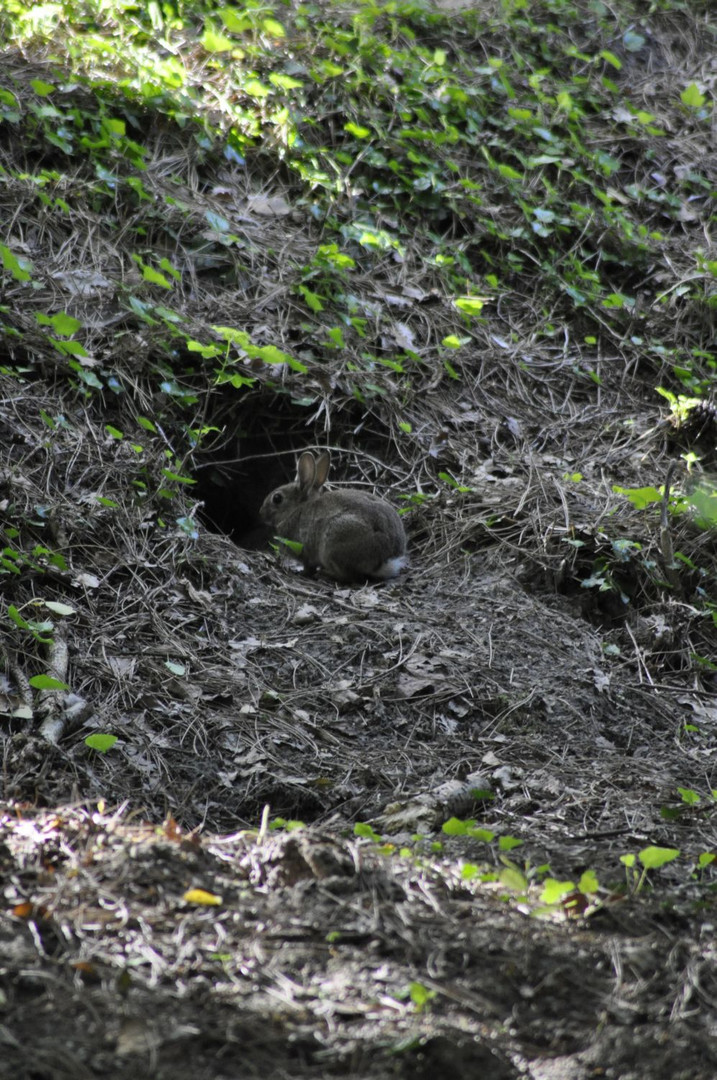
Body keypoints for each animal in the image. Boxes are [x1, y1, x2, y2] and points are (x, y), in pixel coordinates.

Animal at [260, 447, 408, 583]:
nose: (261, 513)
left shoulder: (304, 550)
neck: (296, 509)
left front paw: (302, 573)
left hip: (334, 543)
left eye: (277, 498)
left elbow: (308, 566)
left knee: (350, 576)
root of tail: (386, 558)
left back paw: (325, 574)